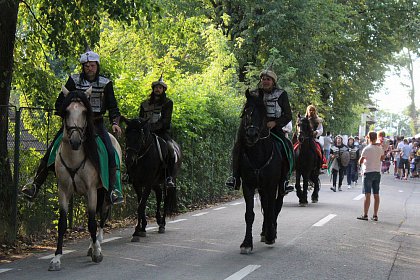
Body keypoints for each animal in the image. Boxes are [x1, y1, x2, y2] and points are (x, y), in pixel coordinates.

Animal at [49, 87, 122, 272]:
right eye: (67, 111)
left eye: (84, 111)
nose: (75, 141)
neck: (74, 157)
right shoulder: (63, 190)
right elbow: (62, 223)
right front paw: (56, 258)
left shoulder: (91, 191)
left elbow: (92, 222)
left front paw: (97, 253)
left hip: (104, 191)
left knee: (102, 216)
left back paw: (96, 245)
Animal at [236, 90, 288, 254]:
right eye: (246, 111)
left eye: (263, 112)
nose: (251, 135)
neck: (258, 154)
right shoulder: (248, 185)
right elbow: (249, 214)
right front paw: (246, 243)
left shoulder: (271, 185)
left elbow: (271, 209)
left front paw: (271, 236)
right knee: (266, 206)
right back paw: (265, 232)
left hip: (278, 186)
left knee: (275, 206)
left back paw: (270, 232)